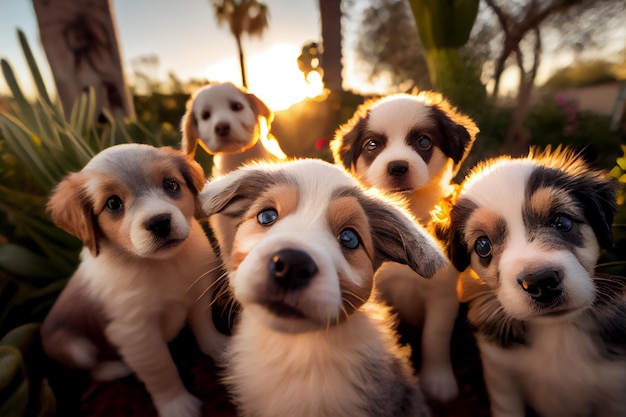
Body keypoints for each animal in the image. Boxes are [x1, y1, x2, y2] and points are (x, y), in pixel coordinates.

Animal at [41, 144, 228, 416]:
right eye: (113, 203)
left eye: (171, 185)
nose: (160, 223)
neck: (164, 264)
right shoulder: (136, 333)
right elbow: (162, 369)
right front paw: (176, 405)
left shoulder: (197, 294)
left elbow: (204, 326)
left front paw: (220, 349)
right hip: (73, 346)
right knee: (92, 367)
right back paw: (115, 368)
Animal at [326, 88, 478, 400]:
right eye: (372, 145)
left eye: (424, 141)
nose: (397, 167)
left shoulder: (443, 295)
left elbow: (435, 338)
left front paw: (439, 381)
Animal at [444, 147, 624, 416]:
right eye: (483, 245)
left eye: (563, 222)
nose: (541, 283)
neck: (557, 333)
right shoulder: (501, 378)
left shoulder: (614, 391)